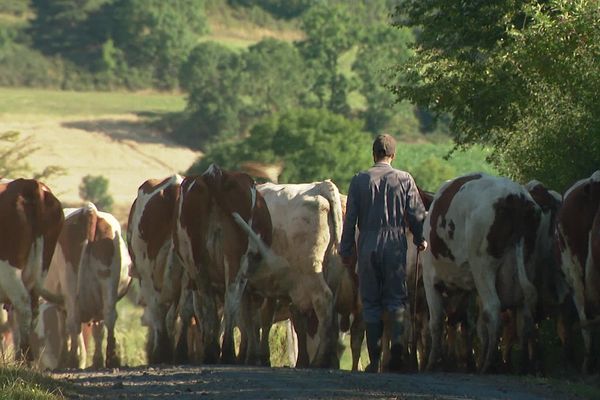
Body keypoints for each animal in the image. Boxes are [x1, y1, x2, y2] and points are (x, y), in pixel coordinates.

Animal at [0, 178, 63, 360]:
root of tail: (28, 184)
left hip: (9, 271)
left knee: (23, 306)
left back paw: (22, 356)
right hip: (40, 271)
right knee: (33, 311)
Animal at [42, 203, 131, 368]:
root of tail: (89, 210)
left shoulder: (61, 304)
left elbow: (64, 331)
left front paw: (64, 360)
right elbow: (98, 331)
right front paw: (97, 360)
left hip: (70, 282)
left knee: (73, 321)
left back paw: (73, 360)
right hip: (108, 279)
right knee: (109, 316)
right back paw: (112, 359)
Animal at [422, 173, 544, 374]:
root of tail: (516, 195)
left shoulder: (430, 278)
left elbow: (437, 321)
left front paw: (433, 362)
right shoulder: (466, 288)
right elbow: (469, 323)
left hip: (482, 265)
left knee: (493, 308)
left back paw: (488, 364)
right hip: (528, 262)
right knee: (524, 315)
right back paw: (523, 365)